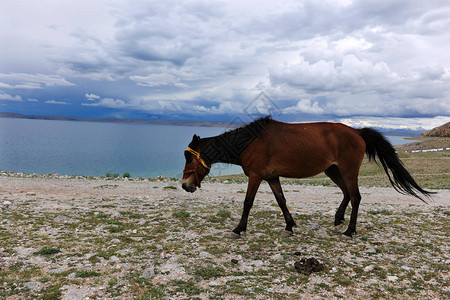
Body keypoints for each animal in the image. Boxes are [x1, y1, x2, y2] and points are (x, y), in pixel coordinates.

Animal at [181, 116, 434, 239]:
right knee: (346, 194)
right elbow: (281, 201)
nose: (185, 185)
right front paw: (289, 226)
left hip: (348, 170)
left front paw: (238, 229)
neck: (249, 142)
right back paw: (338, 219)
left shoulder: (256, 176)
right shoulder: (272, 177)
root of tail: (357, 132)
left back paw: (350, 230)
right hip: (333, 171)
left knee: (355, 196)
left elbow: (247, 203)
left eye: (189, 157)